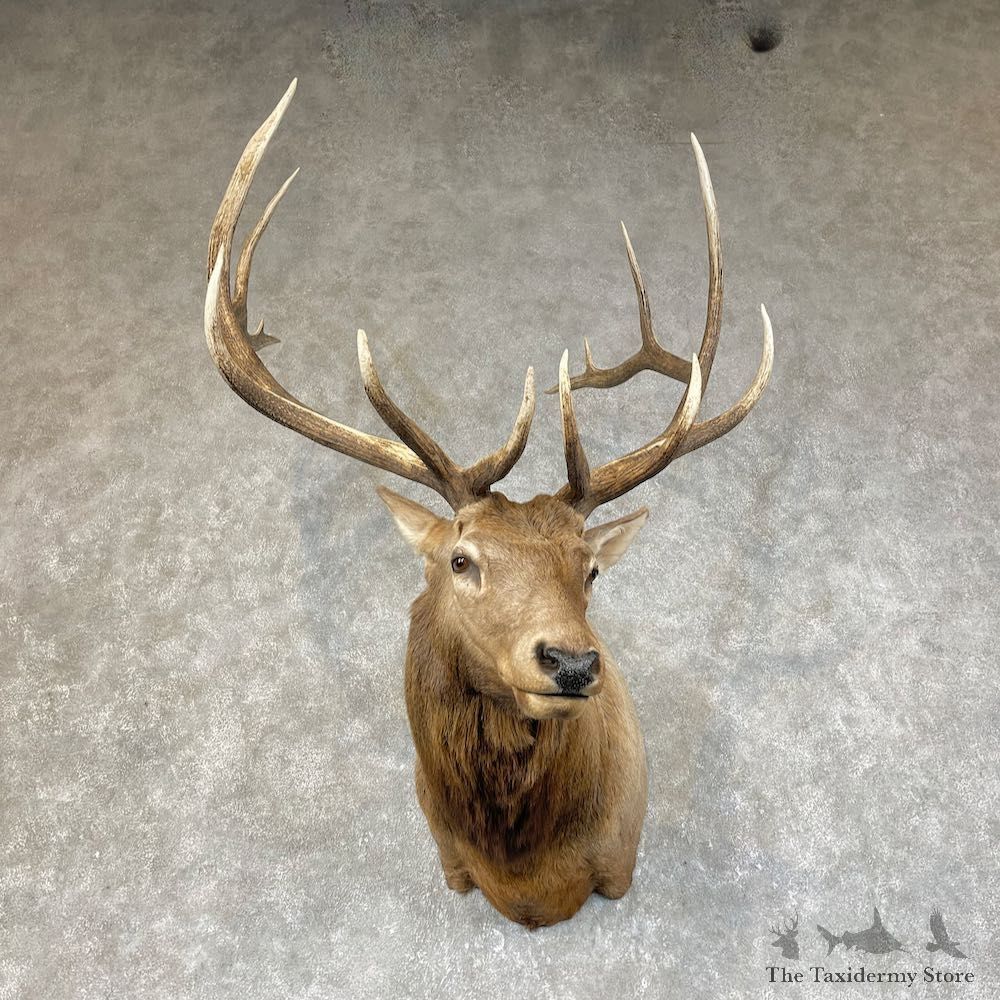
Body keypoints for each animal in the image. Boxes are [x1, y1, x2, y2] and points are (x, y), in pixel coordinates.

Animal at [204, 80, 773, 928]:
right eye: (461, 559)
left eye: (590, 569)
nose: (571, 661)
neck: (527, 880)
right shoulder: (449, 862)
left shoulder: (619, 865)